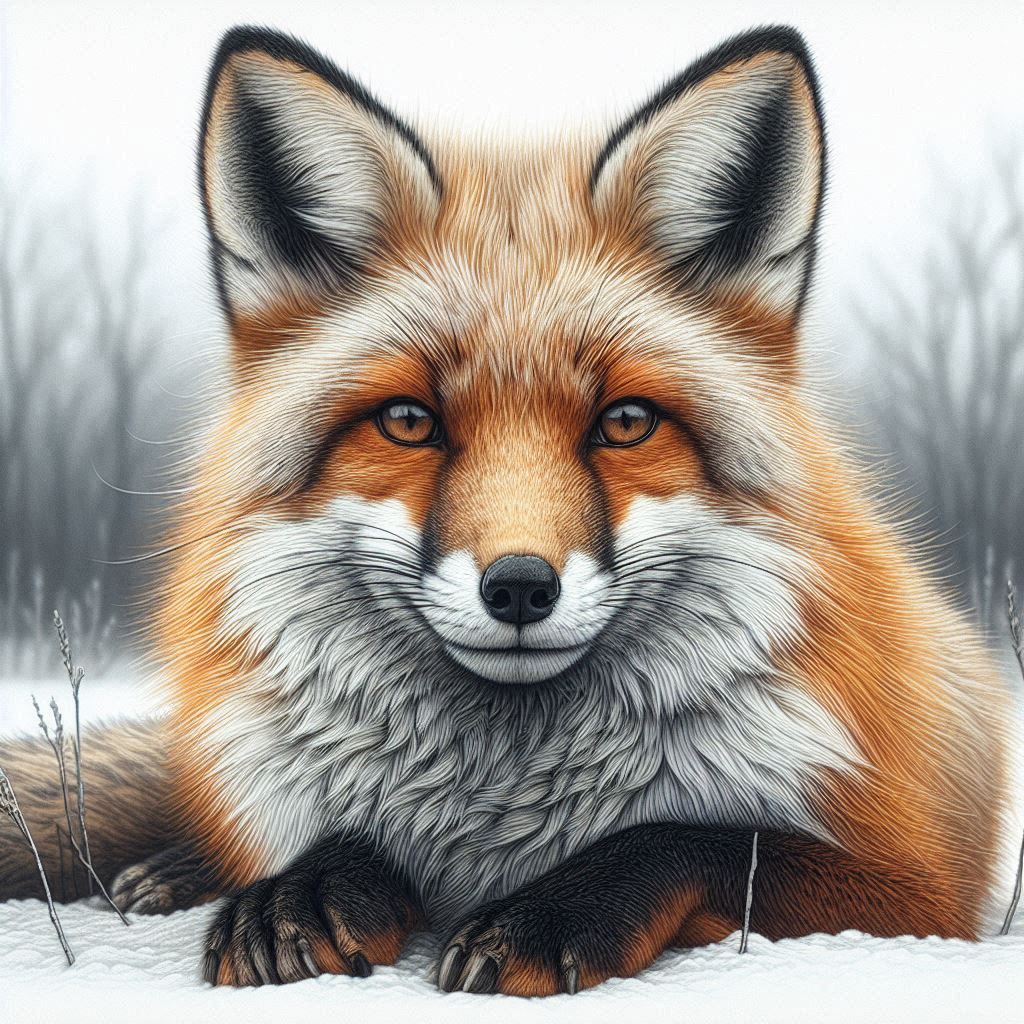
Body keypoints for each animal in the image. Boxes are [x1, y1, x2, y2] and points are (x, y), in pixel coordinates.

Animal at [0, 22, 1018, 997]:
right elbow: (351, 833)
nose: (521, 587)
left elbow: (697, 839)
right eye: (409, 421)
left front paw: (549, 917)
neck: (503, 802)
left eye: (626, 422)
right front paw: (310, 890)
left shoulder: (919, 890)